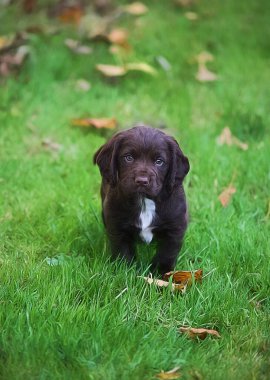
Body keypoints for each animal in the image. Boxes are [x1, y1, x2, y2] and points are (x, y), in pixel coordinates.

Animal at [94, 126, 189, 274]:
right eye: (128, 158)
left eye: (159, 161)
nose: (142, 181)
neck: (144, 201)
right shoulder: (117, 225)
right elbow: (123, 250)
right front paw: (125, 270)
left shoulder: (175, 227)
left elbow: (167, 252)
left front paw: (161, 273)